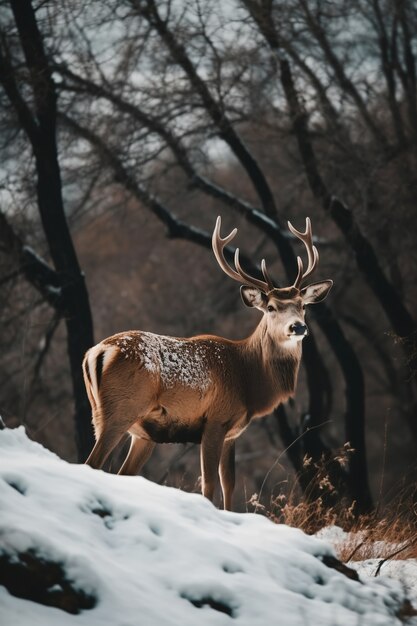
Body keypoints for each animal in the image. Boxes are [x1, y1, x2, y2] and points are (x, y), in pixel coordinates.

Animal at [83, 214, 332, 508]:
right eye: (271, 307)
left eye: (303, 305)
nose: (298, 327)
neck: (248, 378)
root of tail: (96, 352)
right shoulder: (216, 418)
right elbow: (209, 484)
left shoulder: (233, 431)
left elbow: (229, 483)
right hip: (121, 408)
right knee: (92, 462)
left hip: (133, 428)